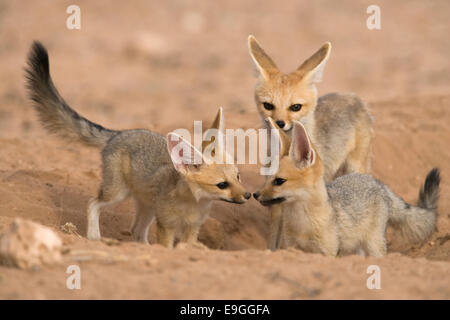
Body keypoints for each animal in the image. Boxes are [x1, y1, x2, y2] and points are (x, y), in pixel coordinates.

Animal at [26, 42, 251, 248]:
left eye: (238, 176)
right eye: (222, 185)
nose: (248, 195)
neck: (193, 205)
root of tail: (120, 133)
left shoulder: (192, 228)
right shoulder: (166, 224)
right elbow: (167, 246)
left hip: (147, 206)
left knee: (136, 230)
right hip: (117, 193)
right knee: (93, 203)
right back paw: (94, 236)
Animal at [246, 35, 372, 250]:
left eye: (295, 107)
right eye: (268, 106)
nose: (280, 123)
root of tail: (352, 96)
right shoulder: (274, 194)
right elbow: (275, 233)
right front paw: (273, 252)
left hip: (355, 167)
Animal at [255, 120, 442, 258]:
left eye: (279, 181)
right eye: (267, 179)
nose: (255, 195)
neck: (302, 224)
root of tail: (377, 182)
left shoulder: (328, 253)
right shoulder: (293, 248)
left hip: (374, 246)